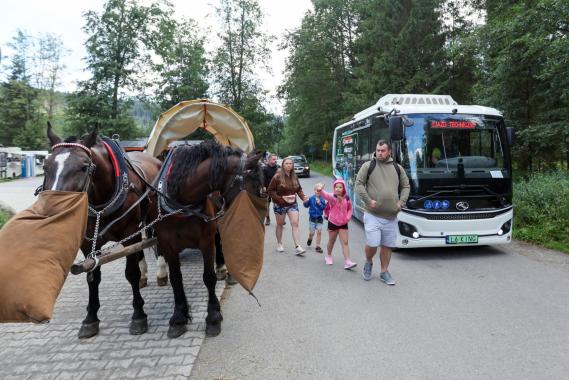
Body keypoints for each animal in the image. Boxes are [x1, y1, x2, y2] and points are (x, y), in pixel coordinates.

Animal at [43, 124, 163, 338]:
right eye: (45, 166)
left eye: (84, 167)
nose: (54, 210)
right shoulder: (88, 242)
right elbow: (92, 277)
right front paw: (90, 318)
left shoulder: (128, 234)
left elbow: (130, 273)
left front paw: (138, 315)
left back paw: (162, 272)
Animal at [154, 140, 262, 338]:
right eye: (253, 184)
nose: (259, 219)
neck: (181, 201)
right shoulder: (166, 244)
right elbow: (176, 279)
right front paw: (178, 317)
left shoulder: (206, 241)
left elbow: (209, 277)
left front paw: (213, 317)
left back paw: (223, 269)